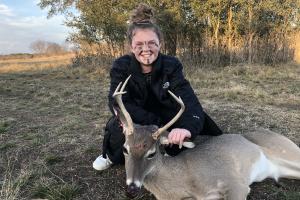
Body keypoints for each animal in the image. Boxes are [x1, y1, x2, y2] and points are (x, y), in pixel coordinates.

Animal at [112, 75, 300, 200]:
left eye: (151, 153)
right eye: (125, 149)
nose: (131, 189)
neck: (186, 180)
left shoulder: (234, 182)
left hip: (286, 151)